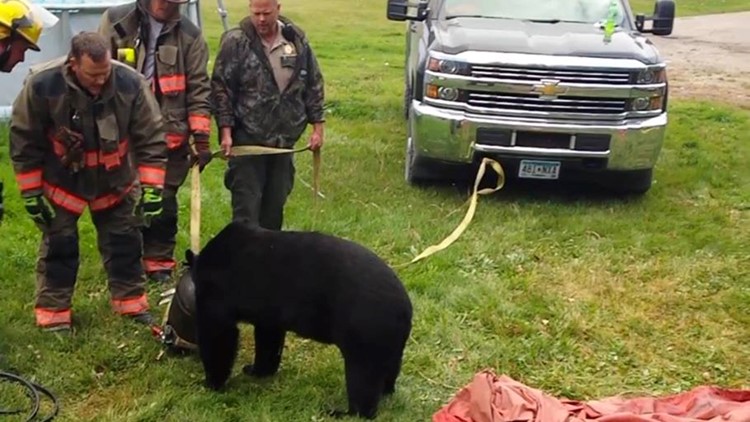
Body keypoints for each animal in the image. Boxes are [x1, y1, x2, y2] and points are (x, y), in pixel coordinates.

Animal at [186, 221, 414, 418]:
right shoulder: (270, 315)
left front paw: (210, 384)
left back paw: (341, 412)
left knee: (363, 381)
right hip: (388, 343)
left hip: (364, 335)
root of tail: (405, 308)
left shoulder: (216, 296)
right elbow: (269, 339)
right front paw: (257, 371)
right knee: (389, 369)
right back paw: (386, 391)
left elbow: (218, 336)